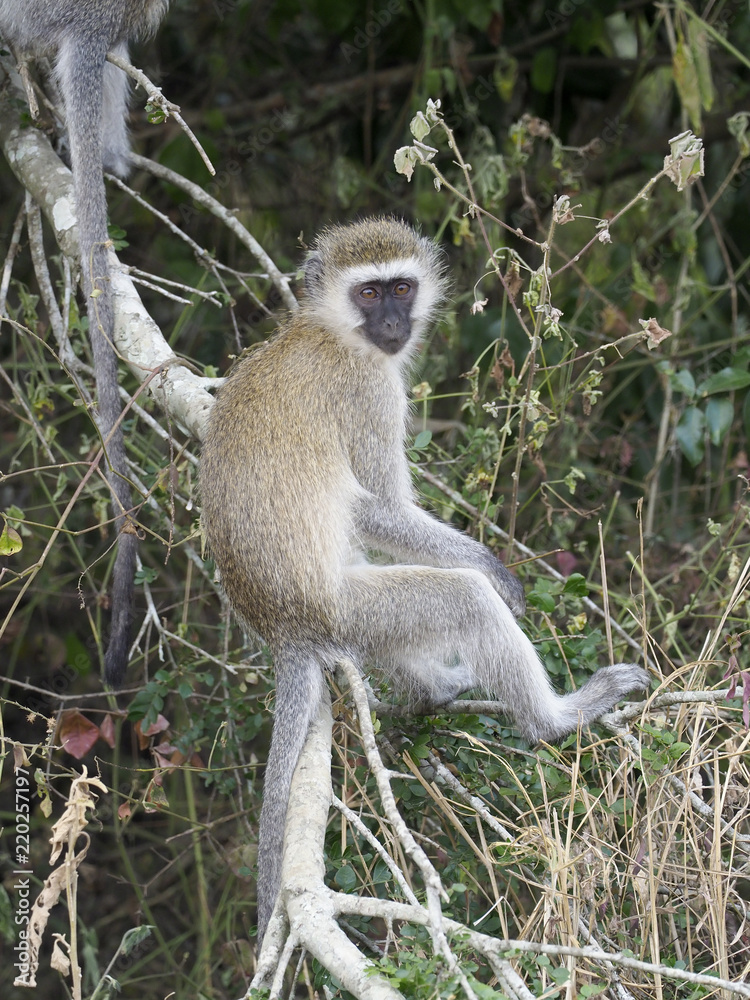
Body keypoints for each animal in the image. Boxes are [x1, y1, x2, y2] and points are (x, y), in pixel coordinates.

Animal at [199, 216, 650, 945]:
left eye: (402, 287)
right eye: (369, 291)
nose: (392, 322)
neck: (328, 330)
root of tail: (281, 623)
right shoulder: (370, 389)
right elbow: (381, 509)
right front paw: (494, 569)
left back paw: (436, 689)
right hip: (346, 608)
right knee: (460, 599)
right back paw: (555, 719)